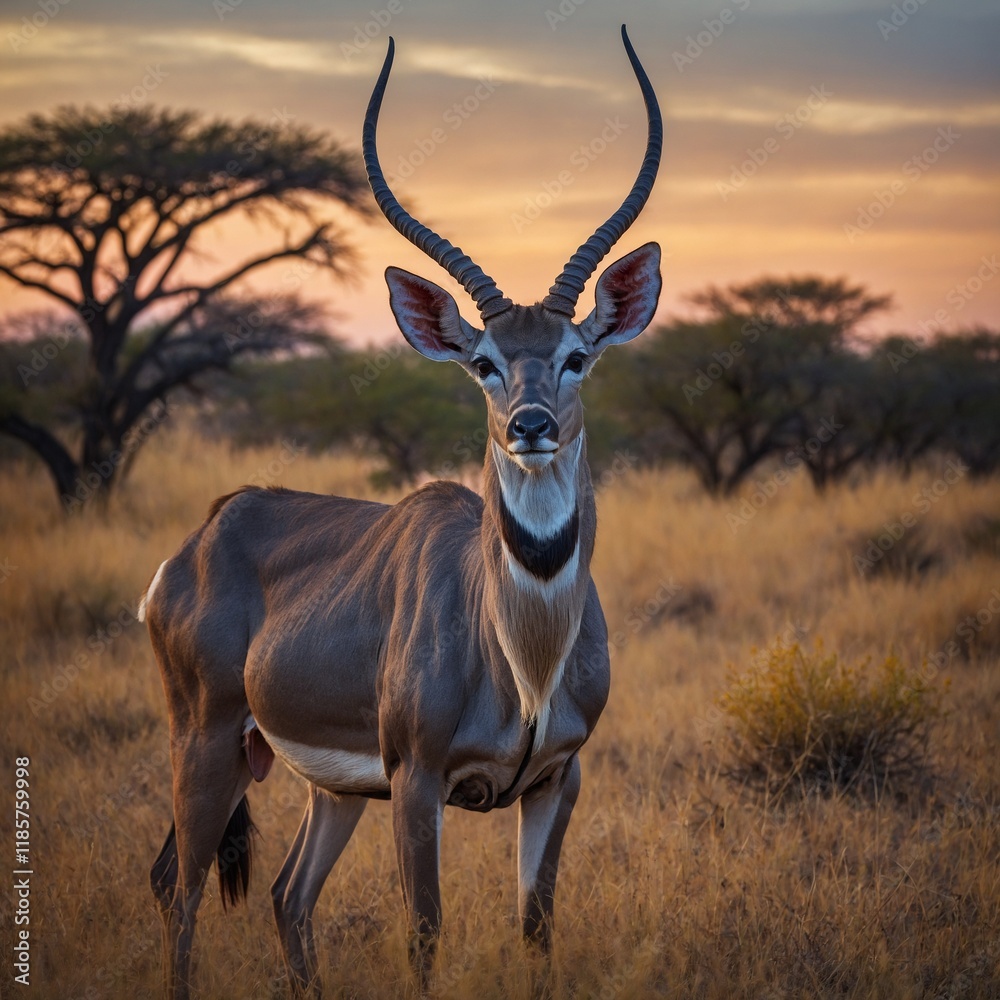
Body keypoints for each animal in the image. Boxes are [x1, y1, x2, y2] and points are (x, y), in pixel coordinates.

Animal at [143, 25, 662, 999]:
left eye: (575, 355)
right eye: (484, 361)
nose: (530, 426)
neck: (523, 651)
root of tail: (201, 538)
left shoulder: (558, 782)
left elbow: (536, 930)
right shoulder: (419, 783)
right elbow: (424, 933)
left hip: (333, 790)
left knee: (284, 895)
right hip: (209, 744)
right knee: (180, 891)